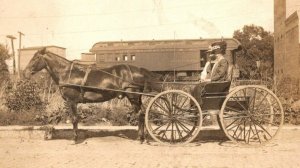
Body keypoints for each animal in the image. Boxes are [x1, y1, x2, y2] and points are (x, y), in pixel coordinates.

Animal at [23, 47, 163, 143]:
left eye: (36, 58)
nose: (25, 73)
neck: (67, 73)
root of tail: (139, 70)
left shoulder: (71, 101)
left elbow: (74, 119)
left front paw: (75, 139)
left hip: (132, 96)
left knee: (140, 114)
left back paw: (140, 138)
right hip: (136, 97)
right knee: (143, 113)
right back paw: (143, 137)